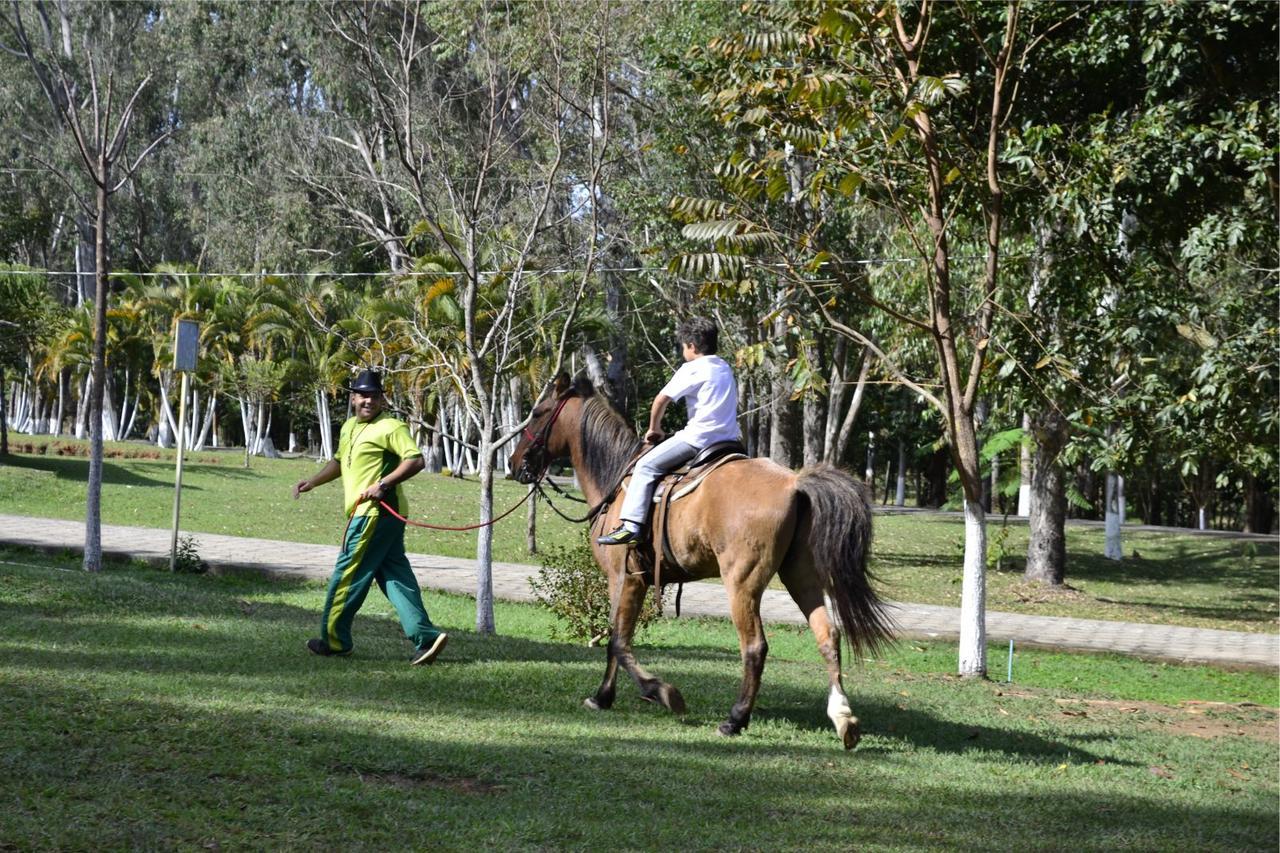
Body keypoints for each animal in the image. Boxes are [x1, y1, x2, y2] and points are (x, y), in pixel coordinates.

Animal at [504, 371, 896, 742]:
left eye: (537, 413)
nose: (512, 462)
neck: (617, 480)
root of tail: (794, 483)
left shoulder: (624, 578)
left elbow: (617, 640)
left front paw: (655, 693)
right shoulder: (634, 582)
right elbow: (617, 641)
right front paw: (608, 696)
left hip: (741, 583)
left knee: (754, 647)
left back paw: (735, 719)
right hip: (801, 576)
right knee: (827, 635)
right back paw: (843, 718)